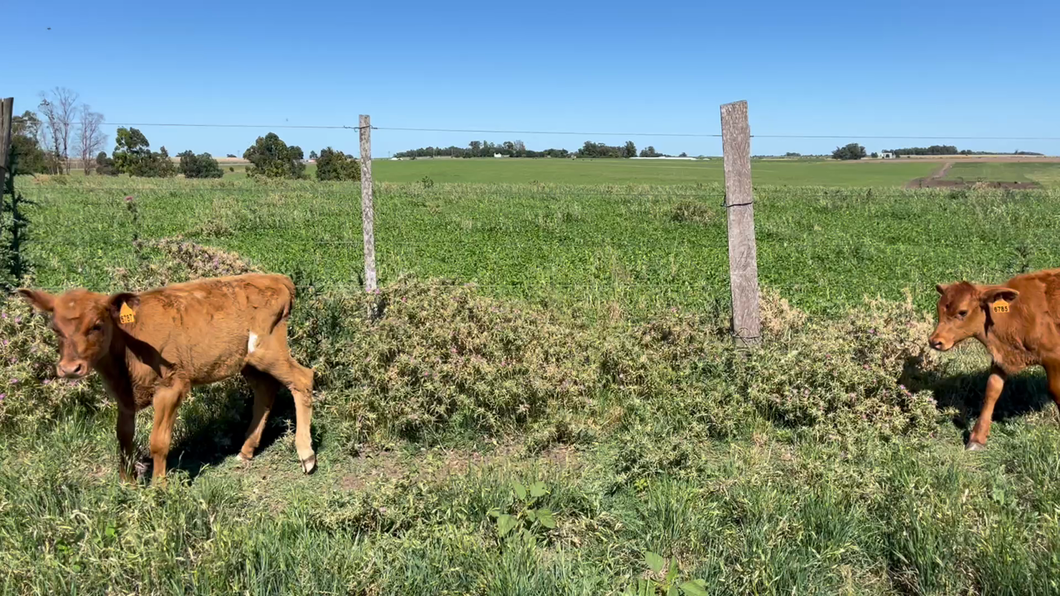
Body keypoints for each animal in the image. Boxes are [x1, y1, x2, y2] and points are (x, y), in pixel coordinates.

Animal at [16, 271, 313, 479]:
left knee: (302, 379)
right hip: (247, 361)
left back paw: (306, 454)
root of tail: (277, 278)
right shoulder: (124, 397)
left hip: (269, 350)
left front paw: (159, 488)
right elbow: (123, 438)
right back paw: (246, 450)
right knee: (265, 391)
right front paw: (126, 483)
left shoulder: (172, 385)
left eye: (97, 325)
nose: (69, 368)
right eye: (55, 329)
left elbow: (158, 442)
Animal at [928, 267, 1060, 447]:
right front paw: (977, 437)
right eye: (939, 309)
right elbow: (992, 390)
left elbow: (1055, 391)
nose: (935, 341)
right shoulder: (1000, 358)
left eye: (962, 312)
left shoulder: (1053, 358)